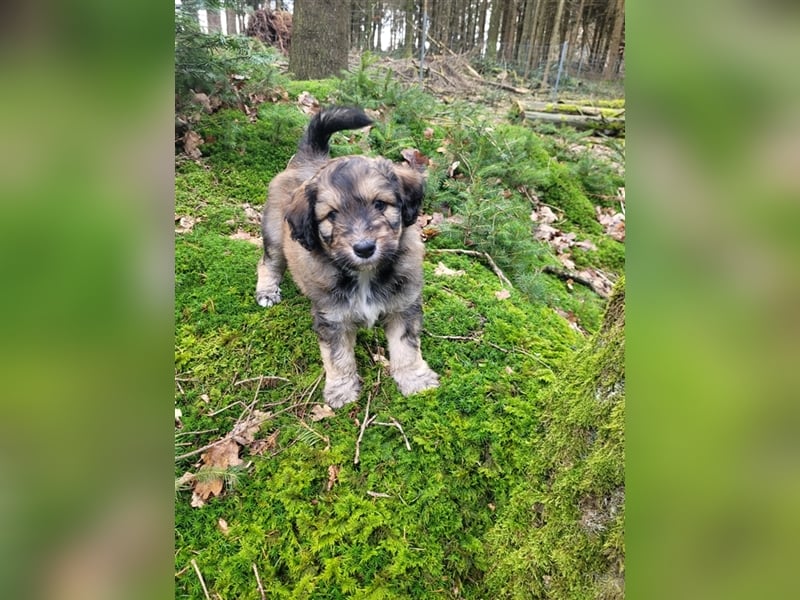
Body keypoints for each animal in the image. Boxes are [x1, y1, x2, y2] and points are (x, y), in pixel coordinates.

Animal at [256, 106, 440, 408]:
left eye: (380, 205)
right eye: (332, 215)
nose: (364, 248)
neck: (365, 274)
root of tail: (308, 159)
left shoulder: (403, 306)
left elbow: (406, 346)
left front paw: (415, 379)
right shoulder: (333, 318)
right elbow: (338, 357)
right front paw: (341, 390)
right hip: (273, 231)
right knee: (268, 262)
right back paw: (267, 290)